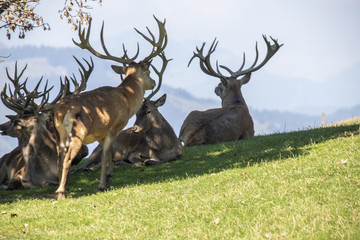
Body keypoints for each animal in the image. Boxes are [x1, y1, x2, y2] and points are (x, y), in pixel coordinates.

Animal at [0, 58, 90, 189]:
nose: (2, 125)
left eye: (16, 119)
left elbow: (46, 183)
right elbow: (13, 183)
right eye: (19, 116)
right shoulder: (19, 173)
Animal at [51, 15, 167, 199]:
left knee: (59, 157)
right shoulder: (114, 126)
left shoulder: (101, 133)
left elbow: (111, 152)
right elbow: (106, 154)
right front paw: (102, 185)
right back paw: (61, 192)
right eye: (148, 72)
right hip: (78, 133)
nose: (154, 82)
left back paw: (60, 187)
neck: (126, 99)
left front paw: (110, 179)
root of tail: (61, 110)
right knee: (68, 158)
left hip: (58, 135)